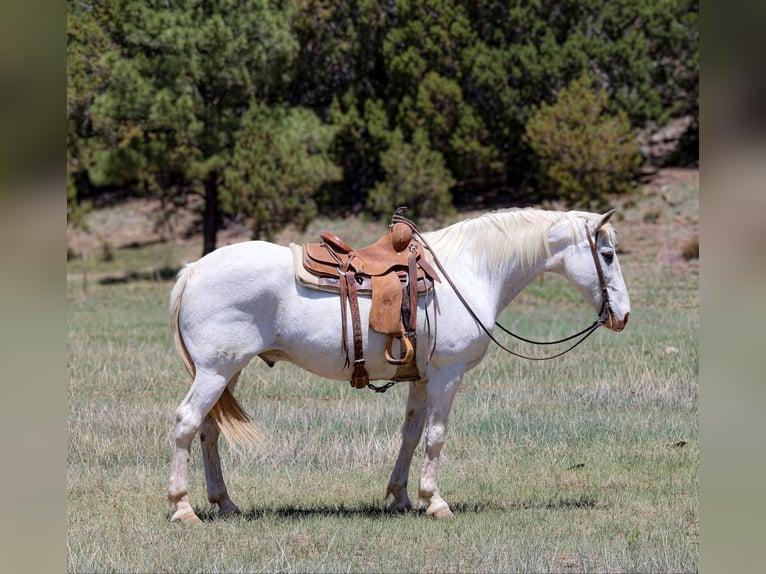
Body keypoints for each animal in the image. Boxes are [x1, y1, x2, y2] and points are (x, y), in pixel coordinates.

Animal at [167, 208, 630, 522]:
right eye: (607, 254)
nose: (623, 315)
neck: (467, 273)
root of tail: (193, 270)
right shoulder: (447, 375)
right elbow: (436, 437)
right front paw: (435, 501)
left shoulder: (421, 378)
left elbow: (410, 435)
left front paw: (402, 496)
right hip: (216, 371)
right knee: (187, 422)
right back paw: (182, 507)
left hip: (227, 372)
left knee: (208, 430)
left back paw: (225, 503)